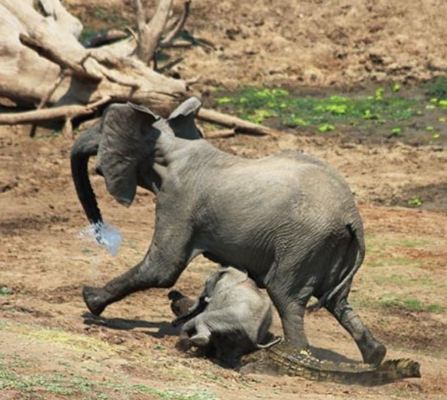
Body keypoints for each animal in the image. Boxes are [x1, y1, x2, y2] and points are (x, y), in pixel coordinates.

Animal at [72, 97, 386, 366]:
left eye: (100, 129)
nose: (102, 235)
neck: (172, 143)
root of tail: (352, 216)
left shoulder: (178, 201)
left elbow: (162, 269)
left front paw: (90, 301)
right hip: (332, 247)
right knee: (337, 302)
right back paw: (375, 356)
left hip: (303, 243)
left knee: (286, 296)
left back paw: (293, 356)